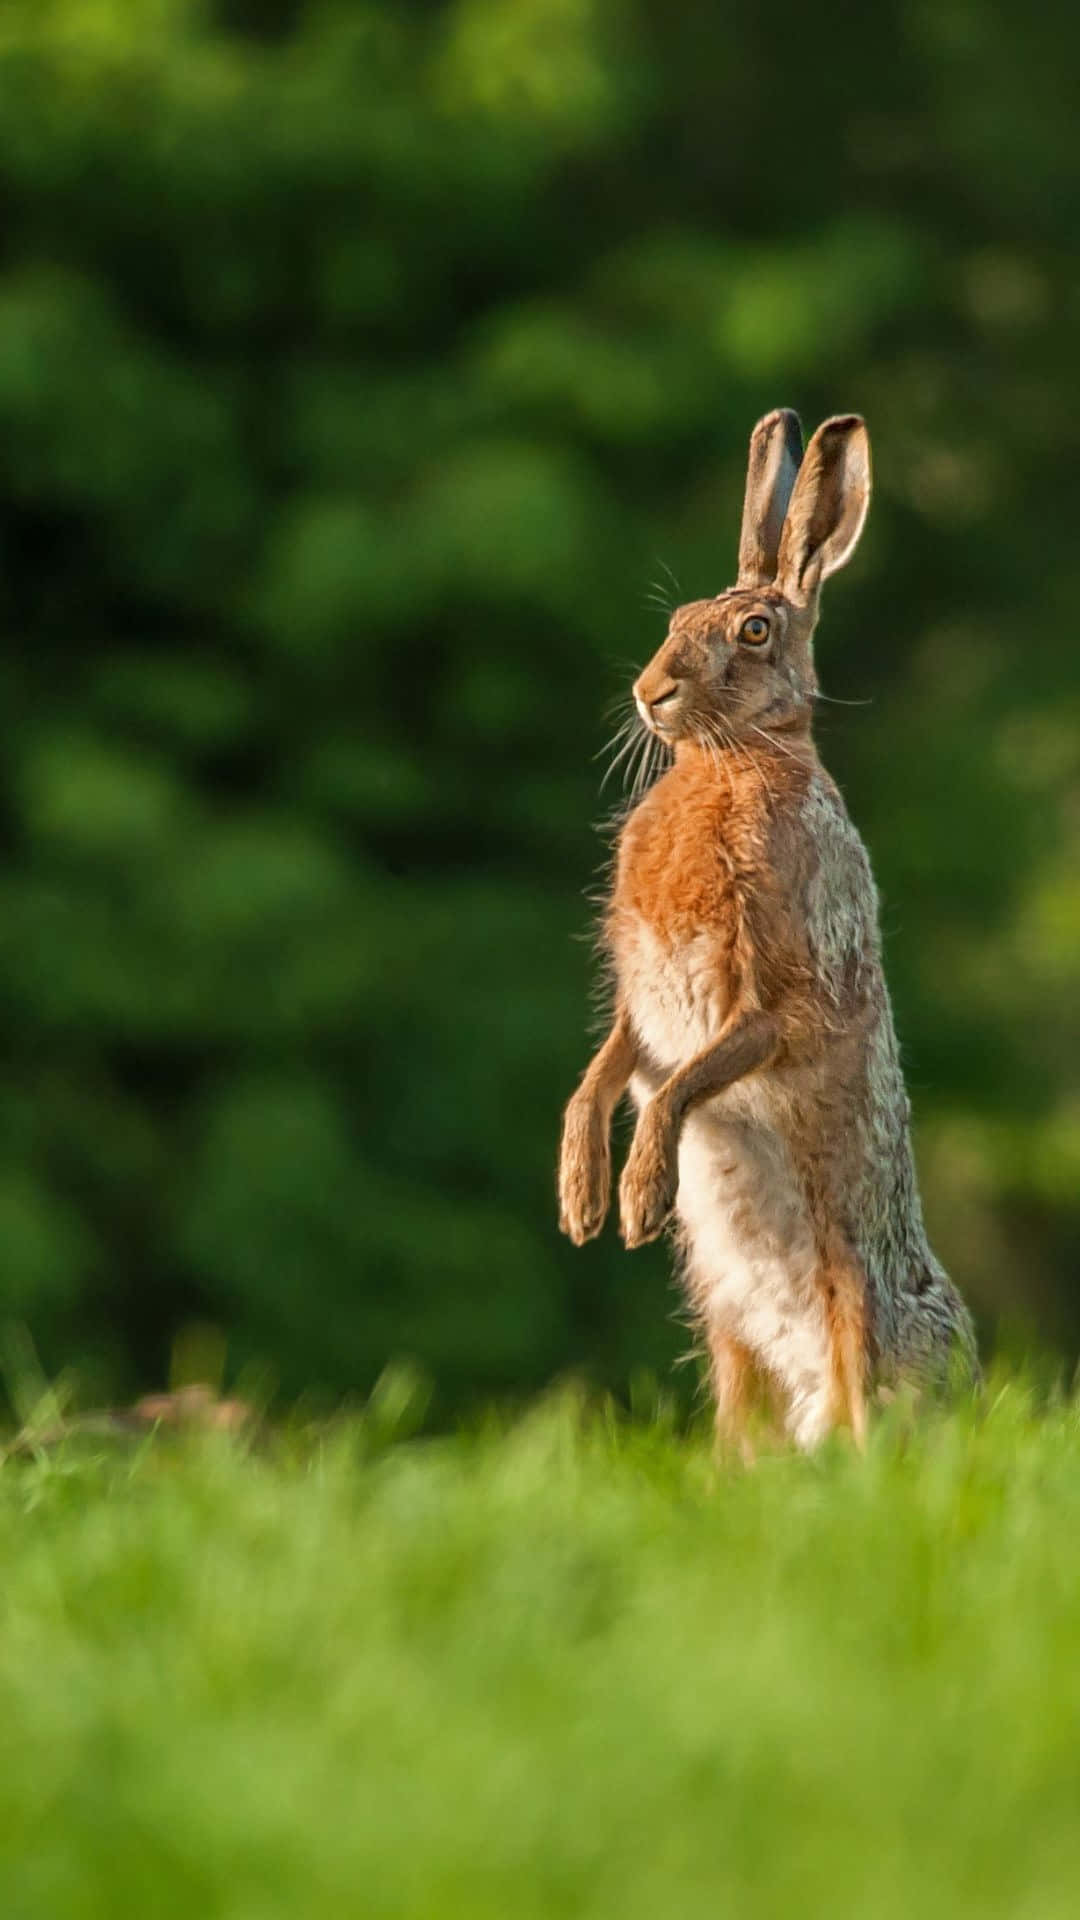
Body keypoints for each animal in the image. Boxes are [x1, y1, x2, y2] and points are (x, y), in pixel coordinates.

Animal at [558, 410, 976, 1451]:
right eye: (674, 621)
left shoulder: (779, 995)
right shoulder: (643, 1004)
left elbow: (682, 1085)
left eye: (754, 631)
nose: (650, 692)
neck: (731, 761)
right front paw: (582, 1197)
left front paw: (638, 1200)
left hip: (859, 1310)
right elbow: (606, 1070)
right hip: (725, 1334)